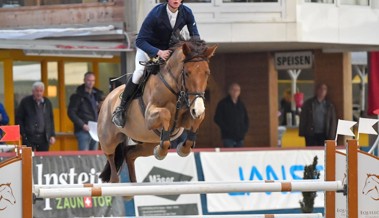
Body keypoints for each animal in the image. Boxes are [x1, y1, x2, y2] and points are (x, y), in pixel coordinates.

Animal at [98, 36, 217, 183]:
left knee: (129, 153)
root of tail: (108, 98)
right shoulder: (150, 117)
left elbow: (198, 120)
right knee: (111, 161)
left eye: (207, 73)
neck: (176, 89)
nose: (198, 108)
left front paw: (183, 149)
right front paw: (160, 152)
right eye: (187, 73)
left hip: (147, 143)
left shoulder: (186, 117)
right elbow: (165, 114)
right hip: (108, 140)